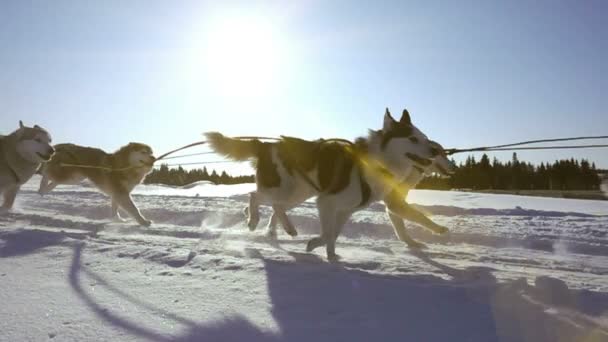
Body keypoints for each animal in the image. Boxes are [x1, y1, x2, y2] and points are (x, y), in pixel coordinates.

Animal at [207, 107, 454, 260]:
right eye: (412, 139)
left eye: (425, 138)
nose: (434, 151)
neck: (374, 163)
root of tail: (266, 145)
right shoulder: (326, 202)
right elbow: (327, 234)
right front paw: (316, 246)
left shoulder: (345, 210)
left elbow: (333, 234)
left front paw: (332, 256)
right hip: (287, 189)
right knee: (255, 195)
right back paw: (253, 220)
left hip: (300, 192)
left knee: (276, 206)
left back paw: (285, 227)